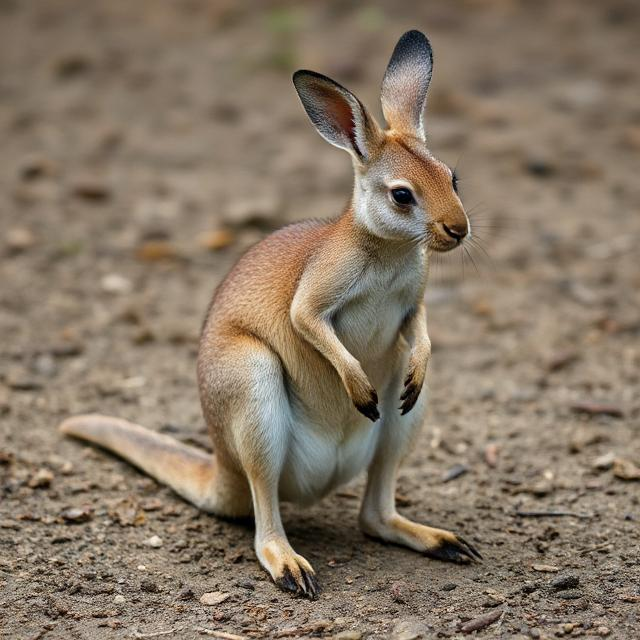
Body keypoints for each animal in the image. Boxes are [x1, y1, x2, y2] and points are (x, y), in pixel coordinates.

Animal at [59, 30, 479, 600]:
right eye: (401, 195)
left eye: (452, 177)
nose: (459, 230)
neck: (389, 251)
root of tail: (222, 468)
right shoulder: (316, 291)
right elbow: (308, 322)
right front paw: (357, 387)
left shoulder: (412, 301)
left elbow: (420, 330)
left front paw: (416, 359)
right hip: (249, 379)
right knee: (265, 507)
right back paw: (288, 564)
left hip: (404, 410)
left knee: (375, 504)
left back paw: (436, 539)